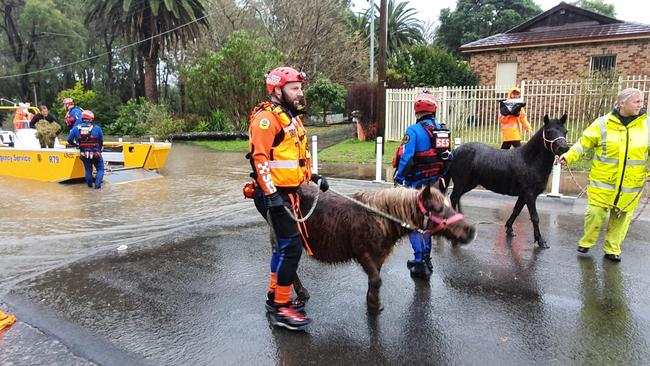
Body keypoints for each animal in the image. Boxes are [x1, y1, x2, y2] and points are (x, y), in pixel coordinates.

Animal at [286, 184, 474, 314]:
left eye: (449, 204)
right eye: (438, 208)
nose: (470, 230)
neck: (380, 219)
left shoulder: (379, 256)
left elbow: (374, 279)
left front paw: (372, 301)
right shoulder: (363, 254)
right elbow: (377, 280)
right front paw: (374, 306)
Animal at [446, 113, 568, 247]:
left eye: (565, 131)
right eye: (549, 131)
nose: (564, 148)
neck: (528, 161)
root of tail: (455, 151)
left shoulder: (524, 195)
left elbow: (516, 211)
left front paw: (509, 229)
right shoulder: (530, 195)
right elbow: (535, 217)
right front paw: (540, 240)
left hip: (469, 183)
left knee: (458, 197)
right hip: (461, 182)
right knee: (454, 197)